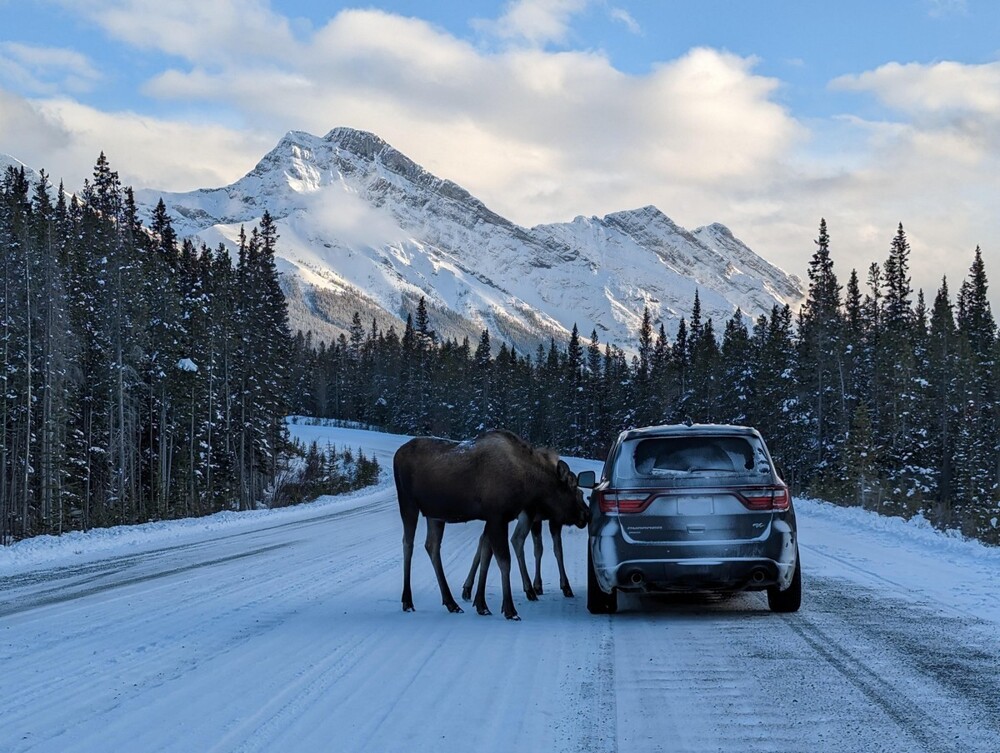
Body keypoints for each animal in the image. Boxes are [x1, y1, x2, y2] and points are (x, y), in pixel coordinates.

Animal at [394, 426, 588, 620]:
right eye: (575, 490)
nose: (585, 514)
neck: (529, 482)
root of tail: (397, 454)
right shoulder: (498, 517)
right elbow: (504, 561)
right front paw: (509, 609)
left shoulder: (493, 519)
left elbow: (487, 556)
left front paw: (481, 604)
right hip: (408, 503)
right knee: (408, 544)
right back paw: (407, 601)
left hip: (435, 515)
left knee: (432, 546)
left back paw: (451, 602)